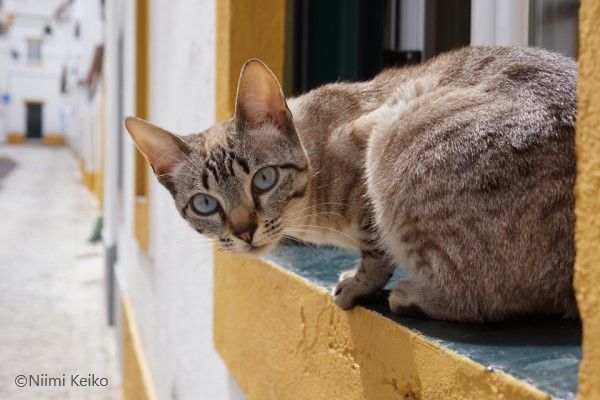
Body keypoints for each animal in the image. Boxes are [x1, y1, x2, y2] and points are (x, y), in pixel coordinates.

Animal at [123, 46, 576, 322]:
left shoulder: (369, 145)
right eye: (205, 204)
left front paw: (356, 286)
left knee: (489, 300)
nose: (245, 231)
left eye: (264, 180)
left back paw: (411, 295)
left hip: (397, 134)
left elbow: (375, 252)